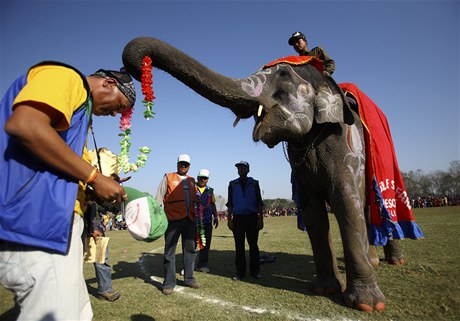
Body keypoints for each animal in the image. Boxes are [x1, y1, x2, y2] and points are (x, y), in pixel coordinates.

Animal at [121, 37, 410, 310]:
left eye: (282, 75)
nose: (136, 69)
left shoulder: (344, 143)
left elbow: (345, 203)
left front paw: (367, 305)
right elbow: (313, 212)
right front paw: (324, 289)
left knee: (372, 207)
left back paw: (395, 261)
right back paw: (373, 261)